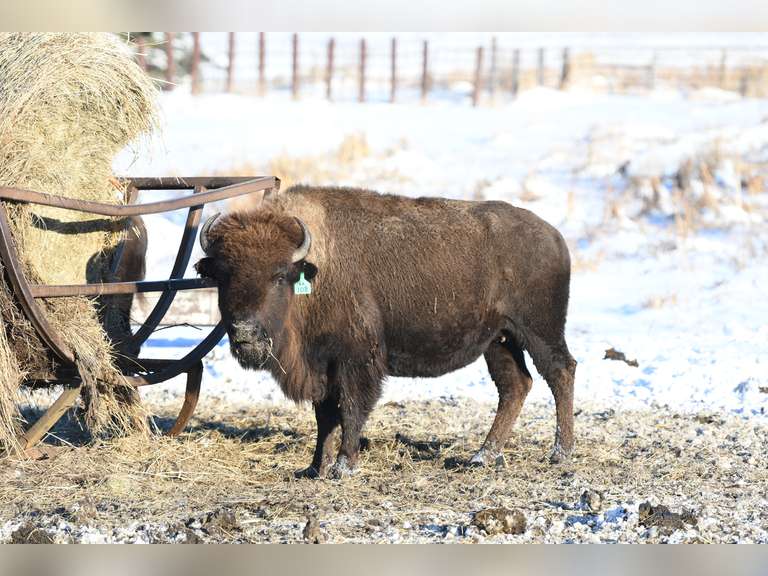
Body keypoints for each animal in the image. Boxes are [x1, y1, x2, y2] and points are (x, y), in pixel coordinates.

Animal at [195, 186, 576, 478]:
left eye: (278, 276)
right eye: (223, 275)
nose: (245, 332)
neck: (313, 270)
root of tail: (554, 236)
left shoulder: (356, 360)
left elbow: (351, 409)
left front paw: (344, 467)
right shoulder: (322, 365)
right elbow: (324, 416)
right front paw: (315, 467)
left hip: (539, 330)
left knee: (560, 372)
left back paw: (560, 453)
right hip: (499, 340)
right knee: (515, 386)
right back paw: (481, 457)